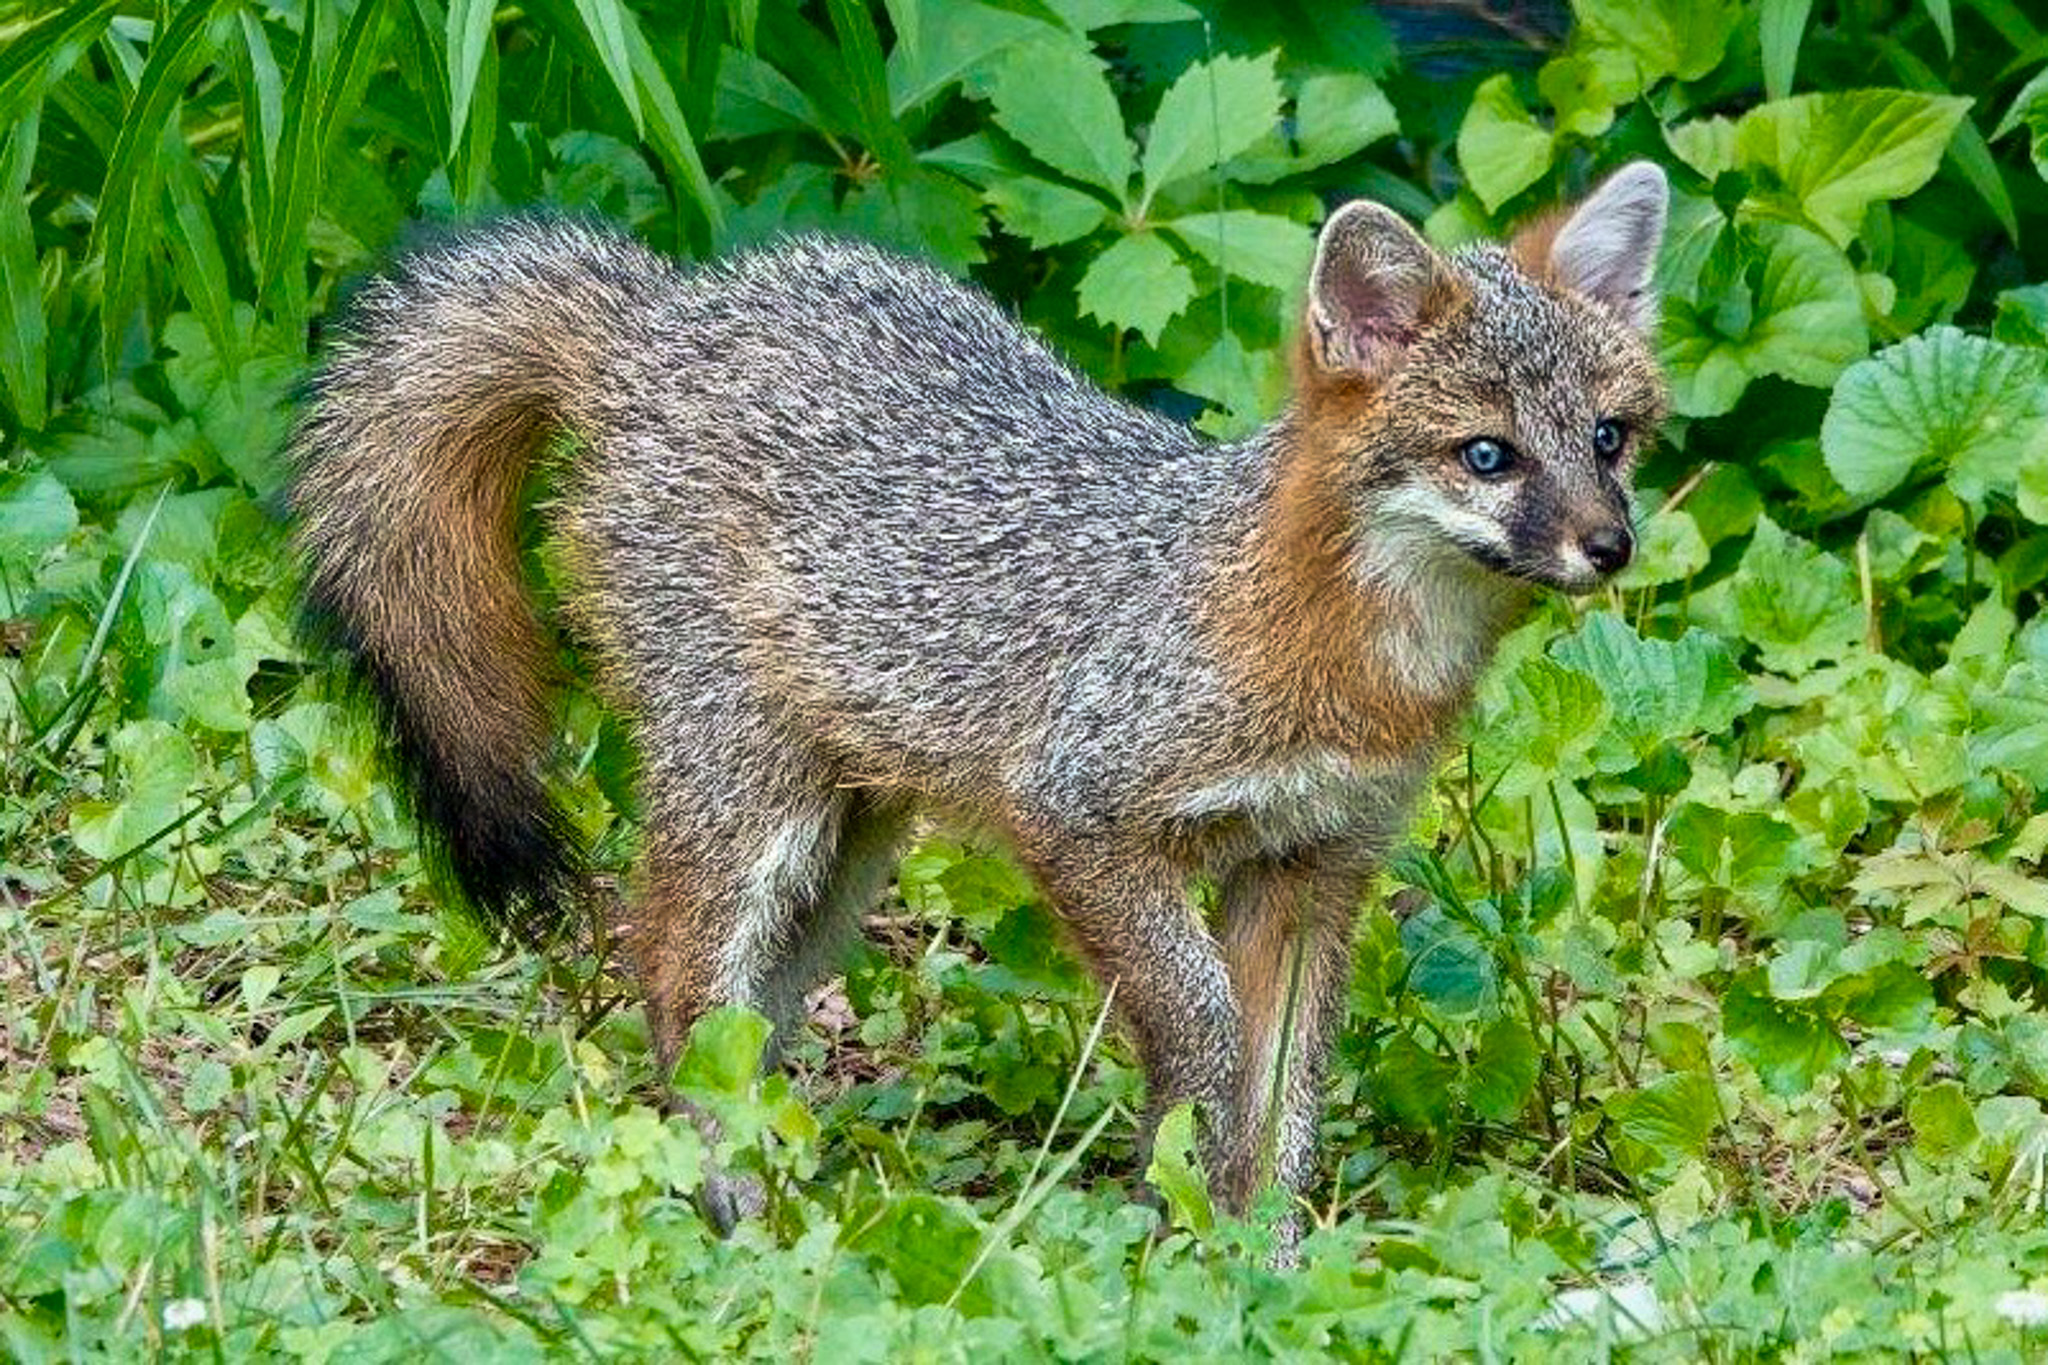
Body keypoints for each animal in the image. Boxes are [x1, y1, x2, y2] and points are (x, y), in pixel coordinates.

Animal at [288, 160, 1662, 1227]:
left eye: (1608, 438)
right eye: (1485, 456)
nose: (1609, 547)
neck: (1337, 658)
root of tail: (669, 310)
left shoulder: (1315, 866)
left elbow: (1285, 1106)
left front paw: (1257, 1268)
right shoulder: (1079, 811)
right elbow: (1208, 1038)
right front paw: (1184, 1207)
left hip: (845, 851)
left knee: (749, 1022)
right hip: (753, 806)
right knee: (673, 971)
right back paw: (732, 1198)